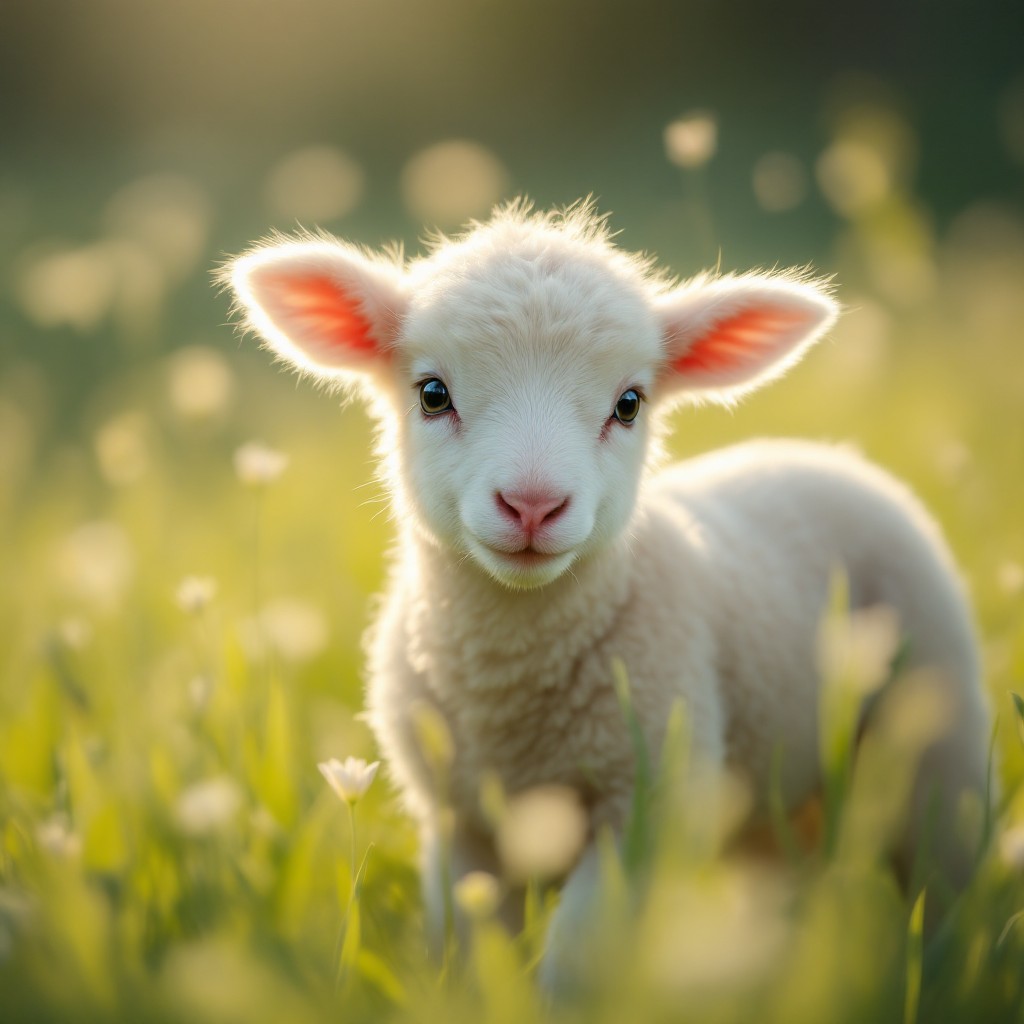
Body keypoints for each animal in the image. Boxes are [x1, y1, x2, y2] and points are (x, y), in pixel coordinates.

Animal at [224, 201, 990, 986]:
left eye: (629, 404)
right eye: (433, 394)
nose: (532, 504)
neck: (511, 688)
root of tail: (823, 453)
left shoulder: (645, 806)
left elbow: (575, 962)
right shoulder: (456, 821)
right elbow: (471, 959)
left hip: (938, 745)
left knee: (945, 883)